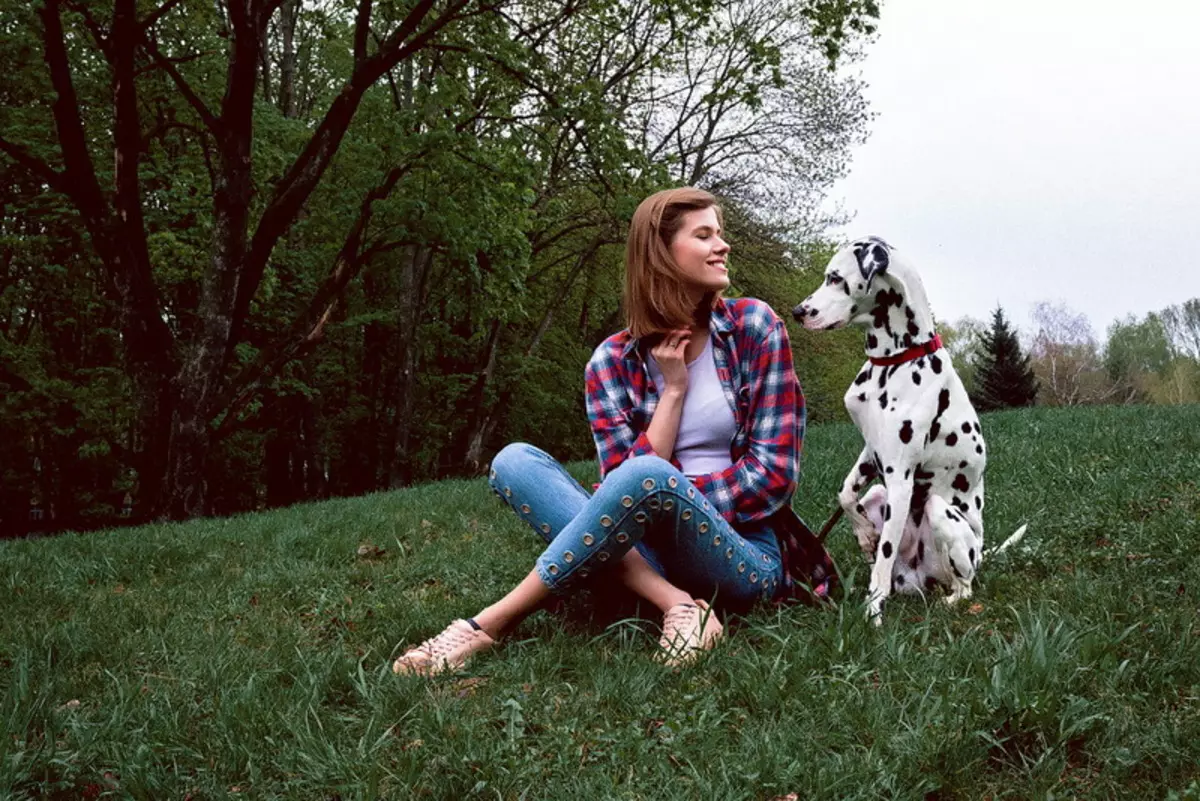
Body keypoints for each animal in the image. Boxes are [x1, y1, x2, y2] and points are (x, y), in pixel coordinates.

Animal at [796, 235, 1022, 623]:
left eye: (835, 278)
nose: (799, 311)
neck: (893, 362)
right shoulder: (871, 455)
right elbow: (845, 494)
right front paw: (864, 535)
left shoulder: (900, 477)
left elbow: (882, 561)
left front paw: (873, 610)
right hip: (879, 494)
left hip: (940, 513)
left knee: (965, 585)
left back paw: (951, 598)